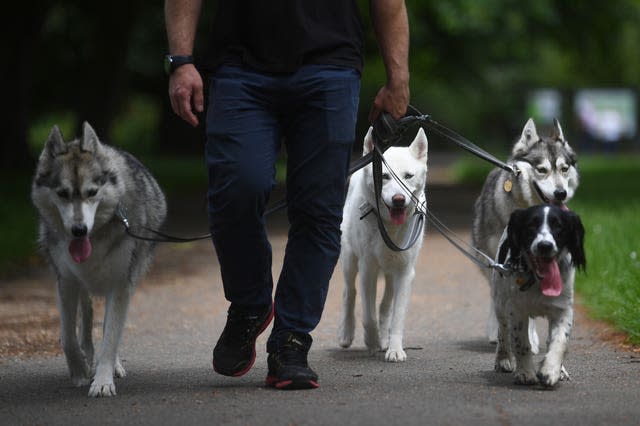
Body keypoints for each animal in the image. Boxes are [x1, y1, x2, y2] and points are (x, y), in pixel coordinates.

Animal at [31, 121, 166, 398]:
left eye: (92, 192)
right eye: (62, 194)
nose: (79, 230)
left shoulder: (120, 285)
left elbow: (111, 336)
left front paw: (103, 380)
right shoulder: (66, 282)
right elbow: (67, 336)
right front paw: (80, 371)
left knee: (105, 330)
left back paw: (111, 365)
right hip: (83, 286)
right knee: (86, 318)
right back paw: (87, 355)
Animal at [338, 127, 428, 362]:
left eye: (408, 176)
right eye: (384, 176)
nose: (398, 200)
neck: (388, 227)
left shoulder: (405, 273)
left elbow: (397, 316)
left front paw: (394, 349)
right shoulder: (367, 269)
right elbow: (368, 316)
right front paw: (371, 342)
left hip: (390, 272)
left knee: (386, 304)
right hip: (350, 260)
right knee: (349, 292)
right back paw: (346, 334)